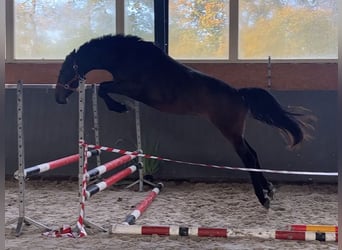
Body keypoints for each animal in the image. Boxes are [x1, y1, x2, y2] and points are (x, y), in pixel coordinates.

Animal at [54, 34, 314, 208]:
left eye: (64, 71)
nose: (58, 98)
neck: (128, 57)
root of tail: (239, 94)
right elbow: (103, 87)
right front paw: (121, 106)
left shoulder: (132, 87)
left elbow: (103, 88)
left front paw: (119, 107)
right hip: (236, 132)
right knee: (253, 154)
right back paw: (268, 190)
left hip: (229, 130)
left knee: (248, 156)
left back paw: (263, 197)